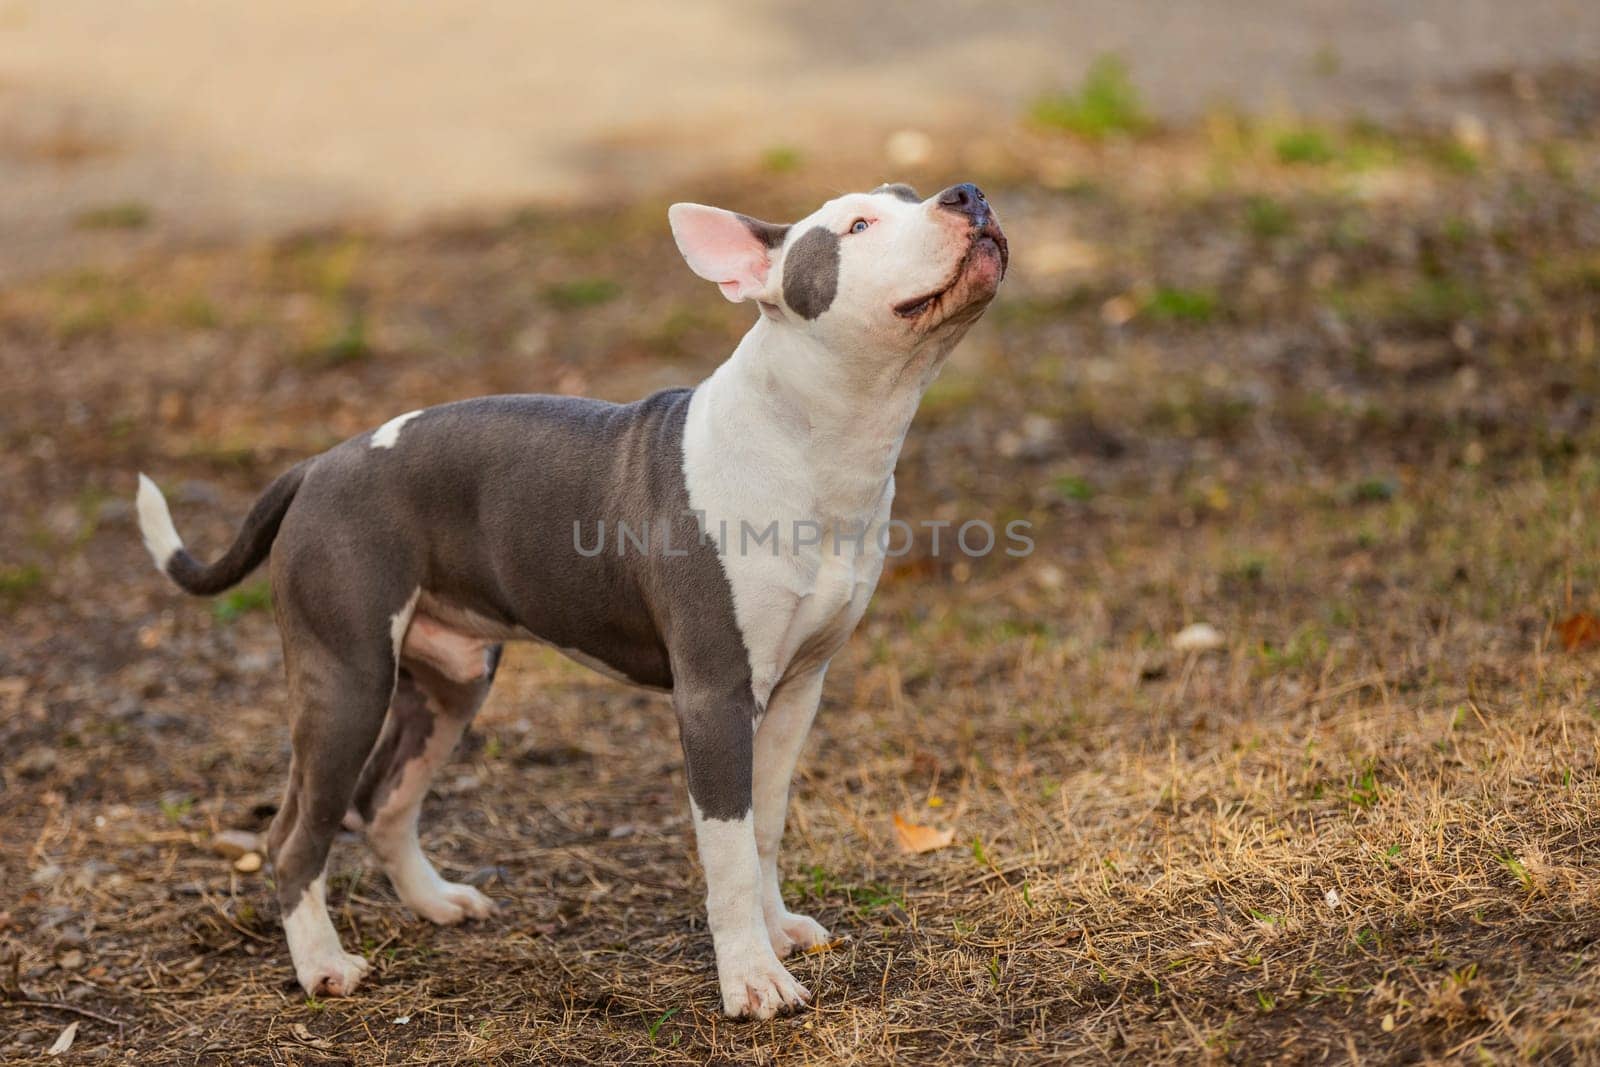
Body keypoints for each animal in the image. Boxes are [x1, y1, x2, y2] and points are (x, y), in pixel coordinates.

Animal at [140, 181, 1011, 1017]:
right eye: (859, 225)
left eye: (916, 193)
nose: (969, 194)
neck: (814, 445)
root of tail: (317, 465)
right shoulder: (715, 698)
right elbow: (727, 848)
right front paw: (752, 981)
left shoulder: (797, 690)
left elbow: (764, 824)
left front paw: (777, 931)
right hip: (348, 680)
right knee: (297, 833)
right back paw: (323, 964)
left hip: (452, 681)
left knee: (382, 799)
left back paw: (436, 901)